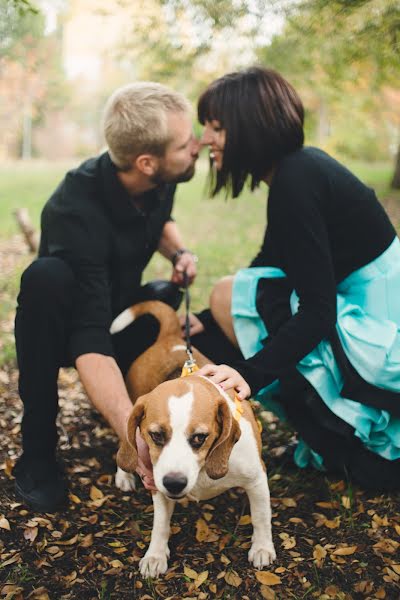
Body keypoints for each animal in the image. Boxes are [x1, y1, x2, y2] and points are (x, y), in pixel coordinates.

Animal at [111, 302, 276, 580]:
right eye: (156, 435)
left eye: (200, 437)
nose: (174, 483)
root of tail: (171, 338)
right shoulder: (156, 483)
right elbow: (160, 525)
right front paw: (155, 555)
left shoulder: (257, 478)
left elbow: (261, 516)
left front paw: (263, 547)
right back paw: (124, 473)